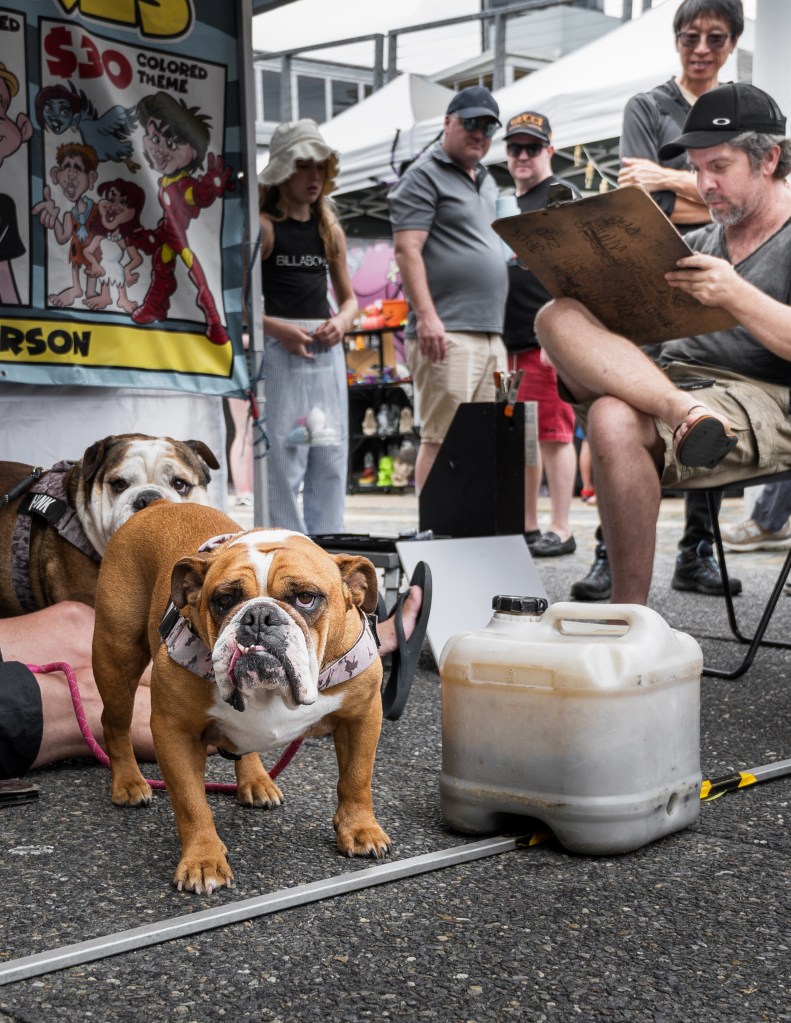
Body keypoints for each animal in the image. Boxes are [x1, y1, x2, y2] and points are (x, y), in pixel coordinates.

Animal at [92, 500, 391, 894]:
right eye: (224, 600)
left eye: (306, 598)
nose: (259, 616)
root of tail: (159, 503)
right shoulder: (174, 730)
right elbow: (191, 802)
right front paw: (203, 860)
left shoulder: (362, 714)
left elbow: (357, 777)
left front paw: (360, 830)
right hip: (117, 657)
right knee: (114, 723)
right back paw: (128, 782)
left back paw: (256, 781)